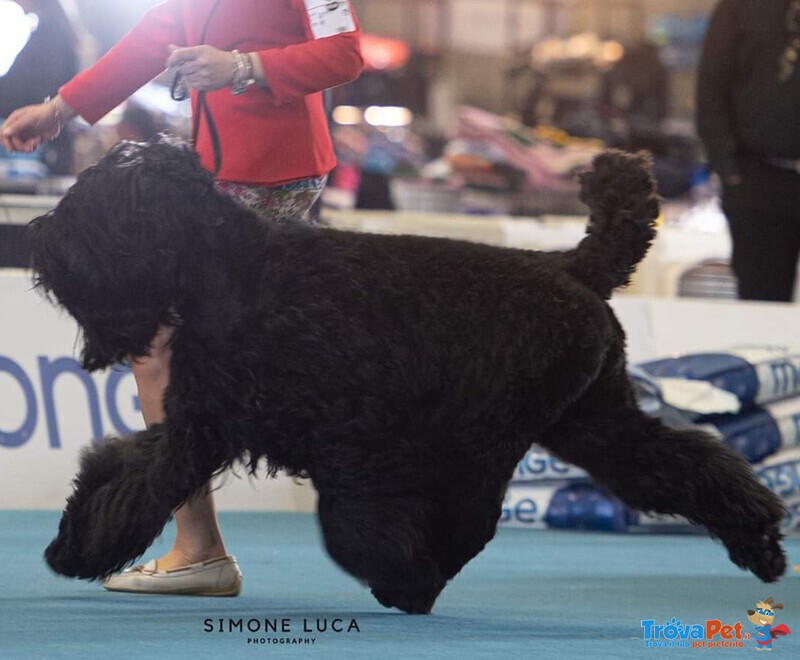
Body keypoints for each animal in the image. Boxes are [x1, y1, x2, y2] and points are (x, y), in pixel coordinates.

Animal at [29, 138, 780, 612]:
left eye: (98, 205)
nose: (40, 240)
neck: (236, 268)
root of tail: (573, 266)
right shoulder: (201, 422)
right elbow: (127, 475)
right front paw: (73, 544)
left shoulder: (347, 442)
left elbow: (349, 522)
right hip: (594, 424)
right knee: (687, 465)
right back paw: (763, 539)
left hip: (487, 439)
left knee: (475, 521)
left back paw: (412, 583)